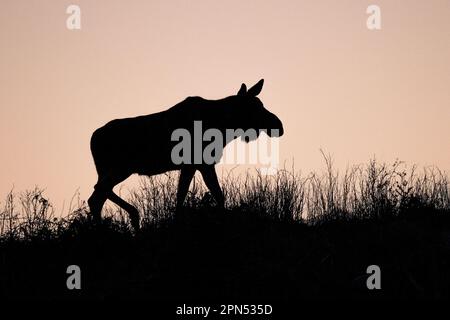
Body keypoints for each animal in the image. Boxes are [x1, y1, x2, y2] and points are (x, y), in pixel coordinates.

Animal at [87, 79, 284, 230]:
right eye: (254, 107)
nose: (278, 125)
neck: (223, 127)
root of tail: (92, 139)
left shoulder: (195, 165)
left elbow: (192, 195)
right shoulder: (200, 163)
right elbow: (209, 194)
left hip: (108, 170)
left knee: (97, 197)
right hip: (121, 168)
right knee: (98, 191)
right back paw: (131, 216)